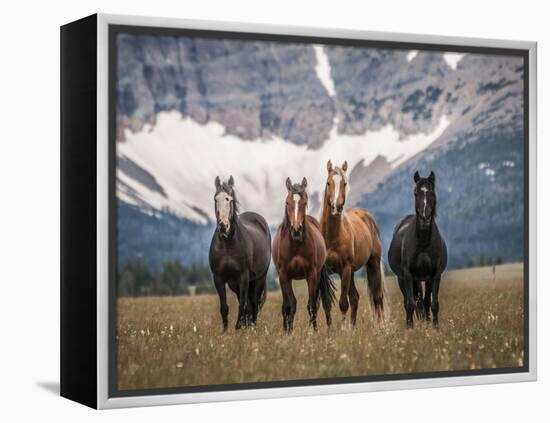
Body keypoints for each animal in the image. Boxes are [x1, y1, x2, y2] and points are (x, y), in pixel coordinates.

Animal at [208, 176, 272, 332]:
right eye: (215, 199)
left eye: (229, 199)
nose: (223, 226)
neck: (228, 245)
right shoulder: (219, 277)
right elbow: (224, 307)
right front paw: (225, 331)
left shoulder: (244, 276)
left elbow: (243, 304)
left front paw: (238, 327)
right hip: (235, 283)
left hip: (259, 278)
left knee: (254, 302)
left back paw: (252, 326)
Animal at [272, 177, 336, 332]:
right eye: (287, 203)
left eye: (305, 203)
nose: (296, 230)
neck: (295, 245)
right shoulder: (284, 275)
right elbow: (288, 306)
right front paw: (287, 332)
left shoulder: (312, 274)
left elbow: (312, 305)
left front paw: (313, 332)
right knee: (290, 304)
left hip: (319, 275)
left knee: (324, 303)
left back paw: (329, 328)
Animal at [320, 160, 388, 324]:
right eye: (328, 183)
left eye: (344, 183)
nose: (336, 207)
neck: (332, 236)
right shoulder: (323, 272)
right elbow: (326, 304)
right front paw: (330, 329)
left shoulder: (345, 268)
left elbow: (343, 303)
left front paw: (344, 328)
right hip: (351, 272)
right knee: (355, 298)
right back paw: (354, 326)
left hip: (372, 263)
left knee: (377, 297)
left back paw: (381, 326)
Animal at [388, 171, 448, 328]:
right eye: (415, 193)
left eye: (432, 192)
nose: (424, 218)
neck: (423, 242)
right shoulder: (408, 275)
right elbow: (410, 304)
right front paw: (410, 327)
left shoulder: (435, 274)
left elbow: (433, 303)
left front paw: (434, 327)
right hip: (403, 279)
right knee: (411, 301)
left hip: (424, 279)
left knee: (424, 302)